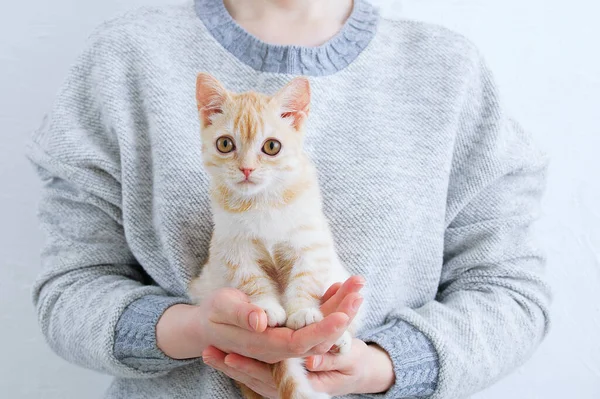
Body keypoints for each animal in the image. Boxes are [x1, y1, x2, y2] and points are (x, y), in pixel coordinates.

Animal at [188, 72, 358, 399]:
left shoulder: (310, 241)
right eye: (225, 144)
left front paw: (302, 311)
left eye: (271, 147)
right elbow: (250, 278)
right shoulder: (231, 248)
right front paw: (267, 306)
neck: (260, 201)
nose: (246, 169)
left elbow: (306, 277)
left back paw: (340, 341)